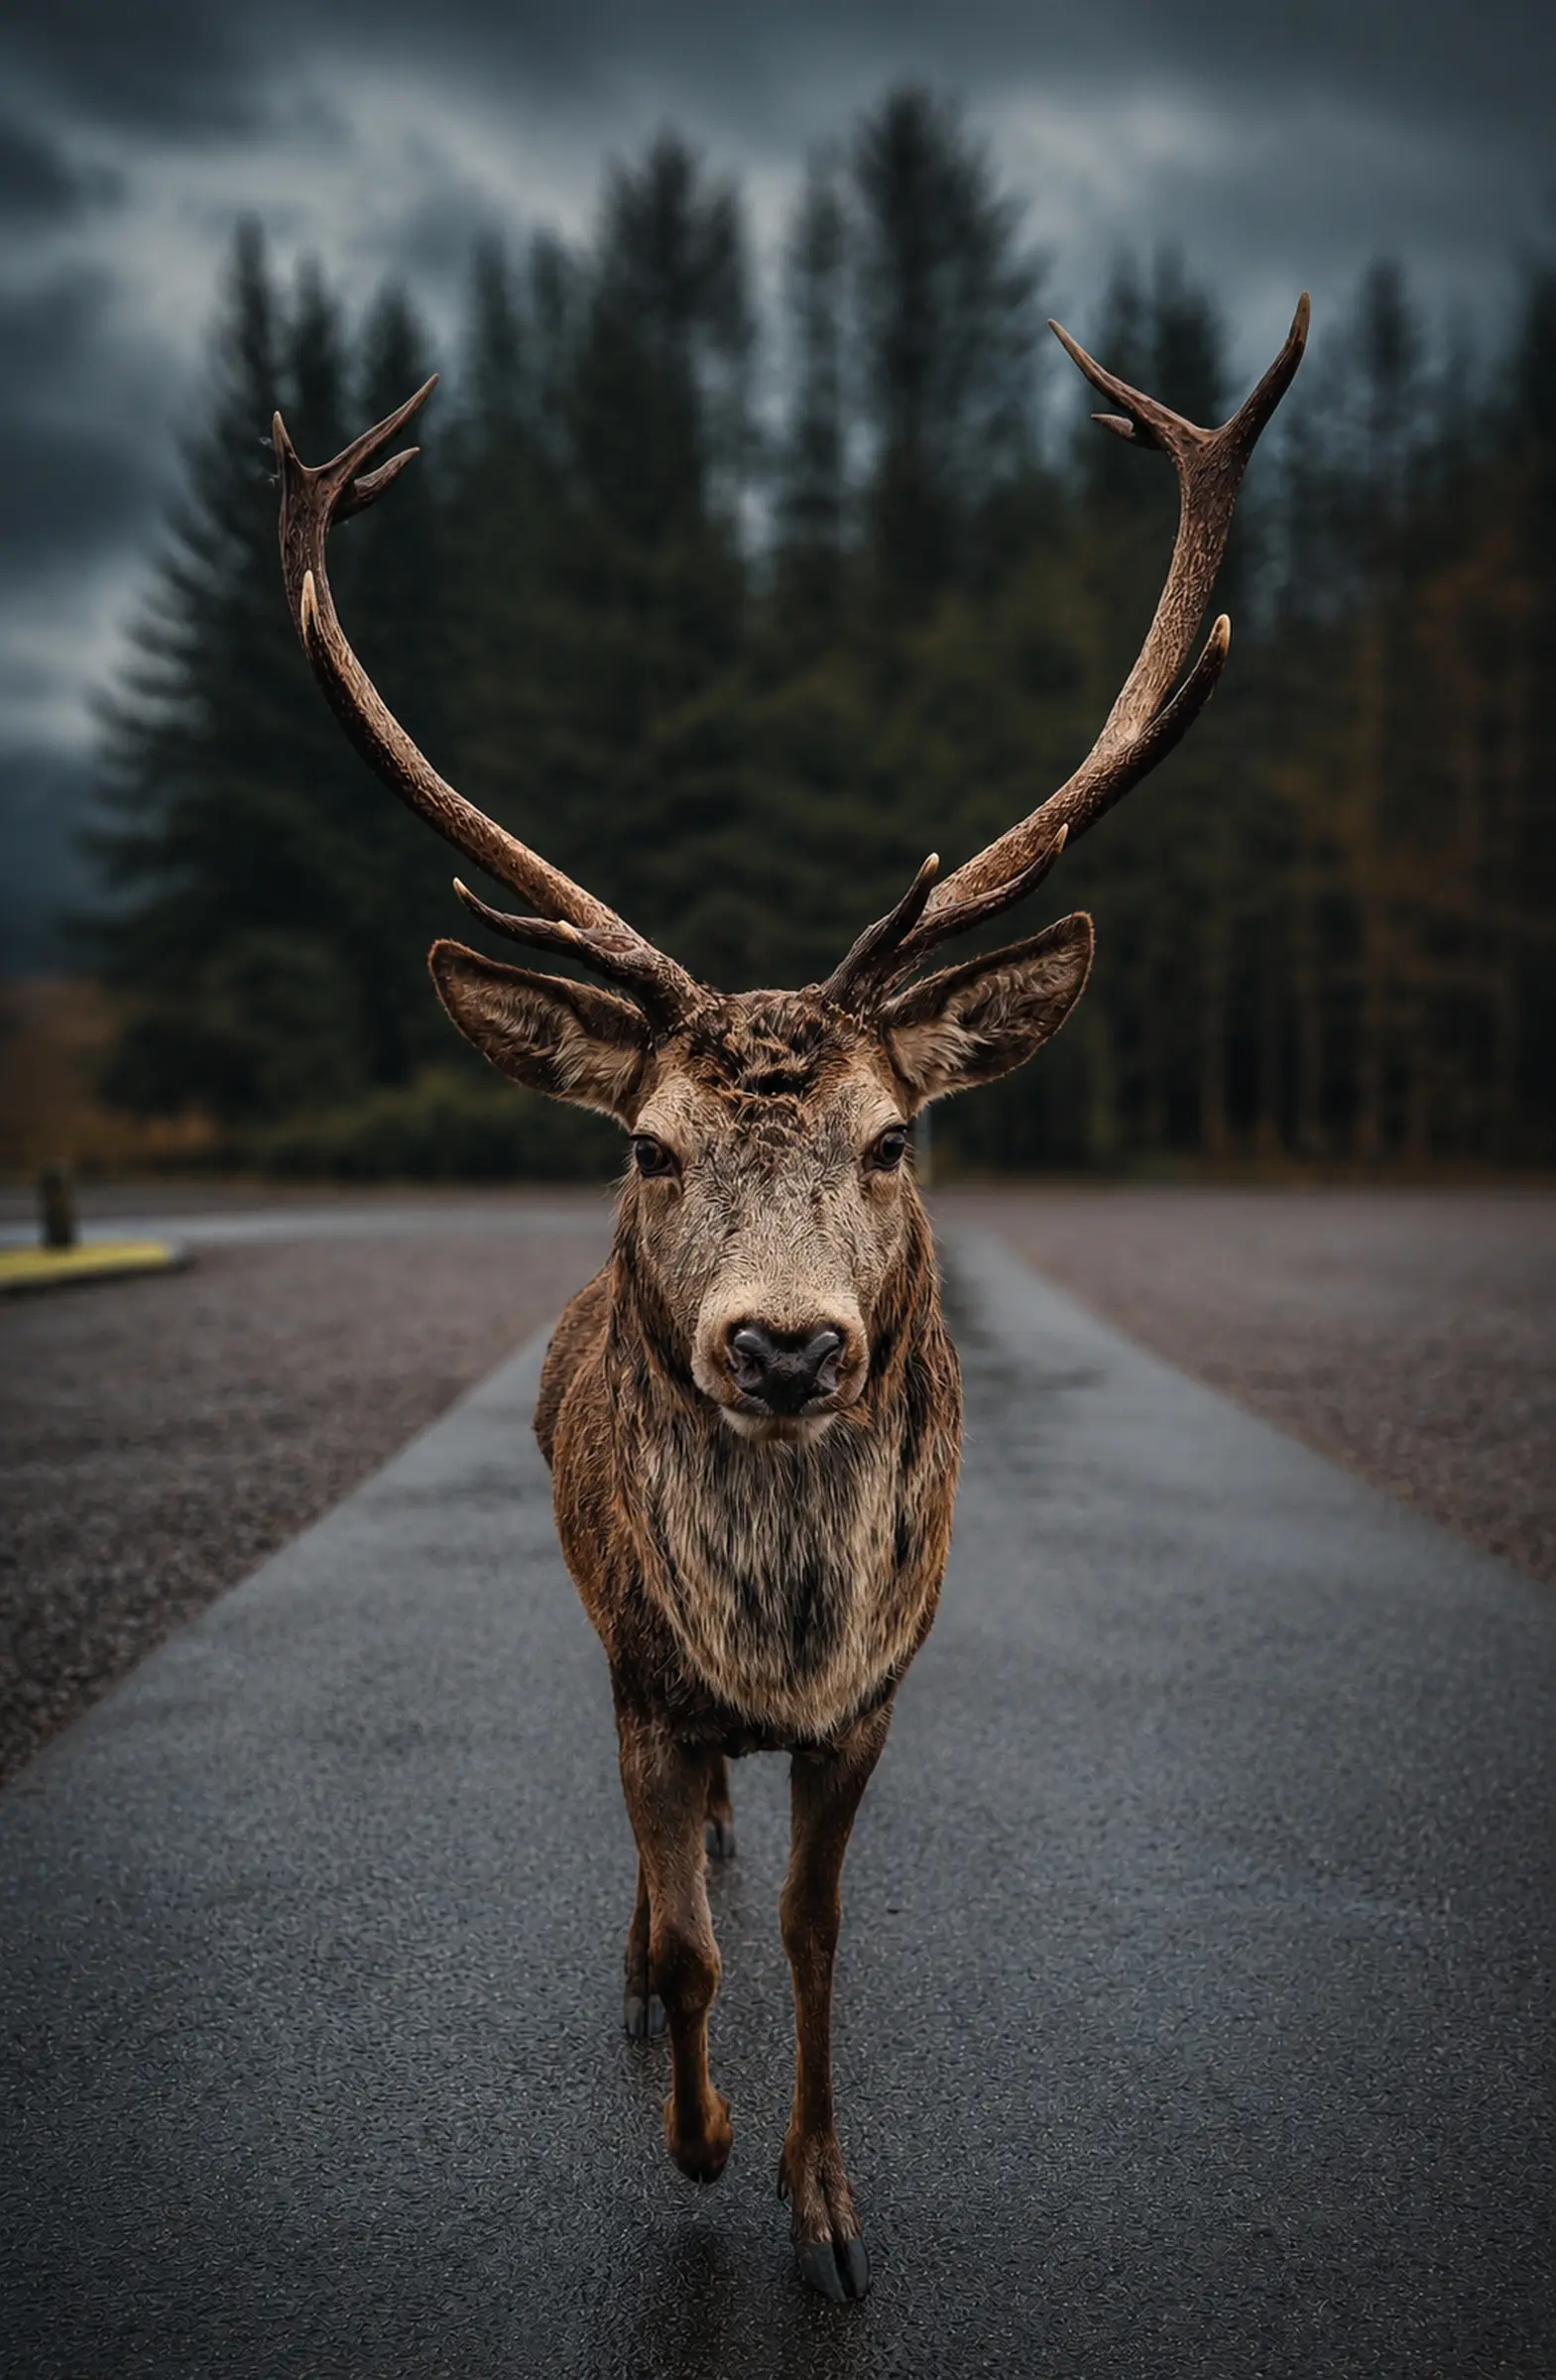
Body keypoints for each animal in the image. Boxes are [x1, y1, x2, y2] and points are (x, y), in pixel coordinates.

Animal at [273, 291, 1307, 2303]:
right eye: (648, 1148)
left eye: (895, 1137)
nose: (779, 1343)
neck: (770, 1643)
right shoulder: (641, 1681)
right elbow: (692, 1949)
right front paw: (701, 2141)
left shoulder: (875, 1699)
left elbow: (821, 1937)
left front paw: (822, 2204)